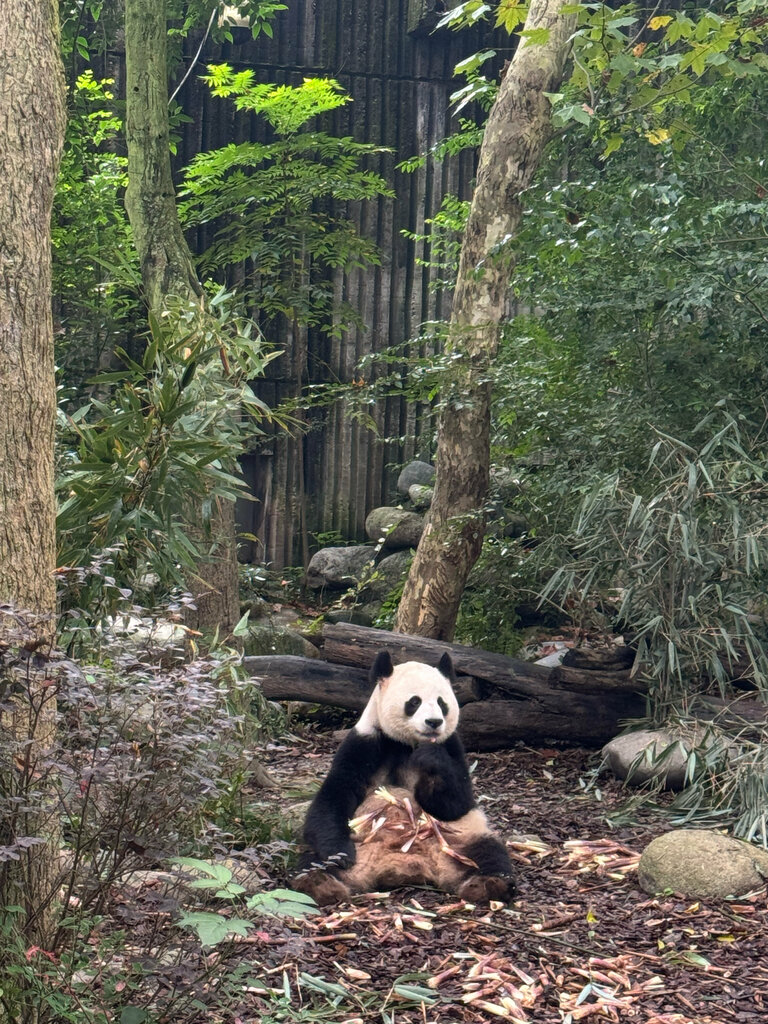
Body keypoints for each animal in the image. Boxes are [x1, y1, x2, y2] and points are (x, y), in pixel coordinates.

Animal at [295, 650, 515, 906]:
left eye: (442, 703)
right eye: (414, 701)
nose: (434, 722)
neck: (407, 743)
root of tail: (405, 864)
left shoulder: (452, 746)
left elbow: (457, 803)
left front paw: (430, 759)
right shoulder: (365, 741)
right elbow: (335, 794)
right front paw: (339, 854)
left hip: (459, 839)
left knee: (488, 851)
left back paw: (488, 883)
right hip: (358, 843)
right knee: (313, 859)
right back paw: (319, 883)